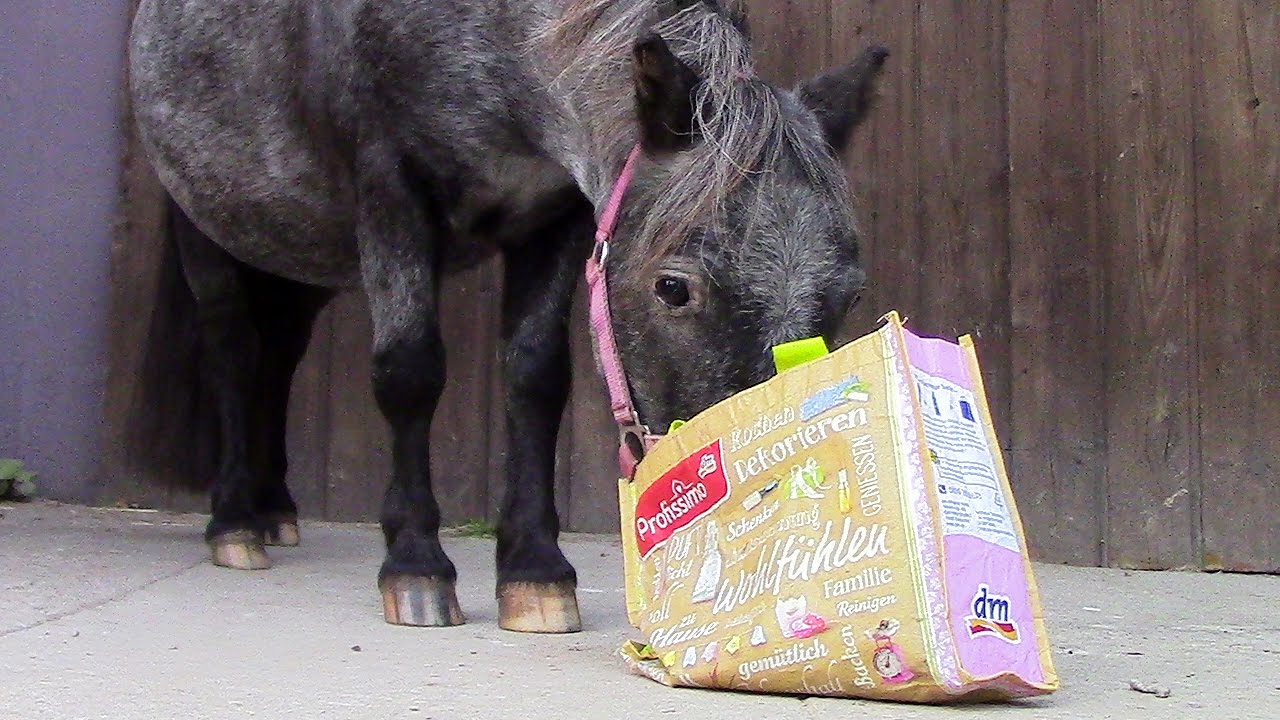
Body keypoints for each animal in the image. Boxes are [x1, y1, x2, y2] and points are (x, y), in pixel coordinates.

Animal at [126, 0, 887, 633]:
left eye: (848, 295)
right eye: (673, 288)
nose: (766, 502)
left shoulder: (558, 217)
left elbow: (535, 377)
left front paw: (534, 572)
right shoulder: (391, 194)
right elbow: (409, 374)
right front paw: (416, 565)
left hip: (299, 253)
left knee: (279, 361)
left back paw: (275, 507)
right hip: (215, 234)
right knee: (235, 353)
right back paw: (235, 522)